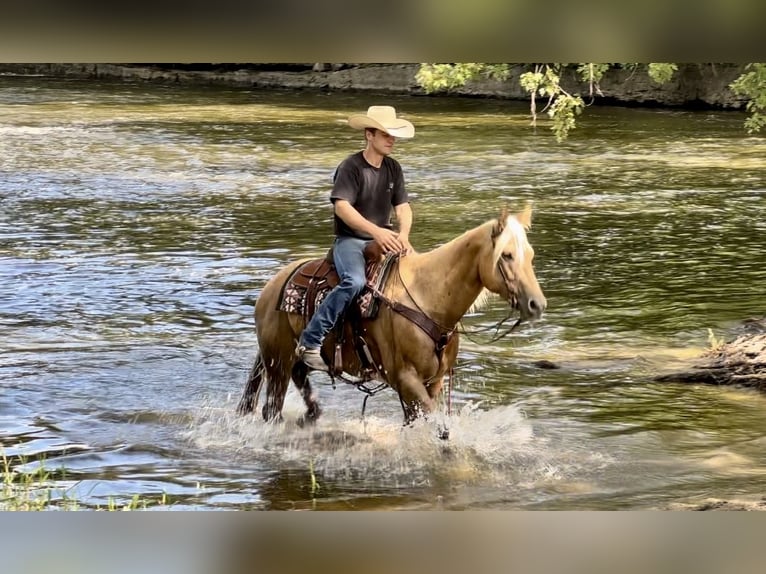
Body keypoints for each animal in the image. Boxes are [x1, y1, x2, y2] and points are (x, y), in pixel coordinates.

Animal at [240, 207, 544, 428]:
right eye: (506, 255)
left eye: (530, 255)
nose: (537, 304)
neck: (428, 298)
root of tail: (271, 288)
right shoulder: (406, 379)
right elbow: (438, 427)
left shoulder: (433, 381)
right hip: (277, 362)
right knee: (272, 410)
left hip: (293, 362)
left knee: (301, 382)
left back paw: (310, 416)